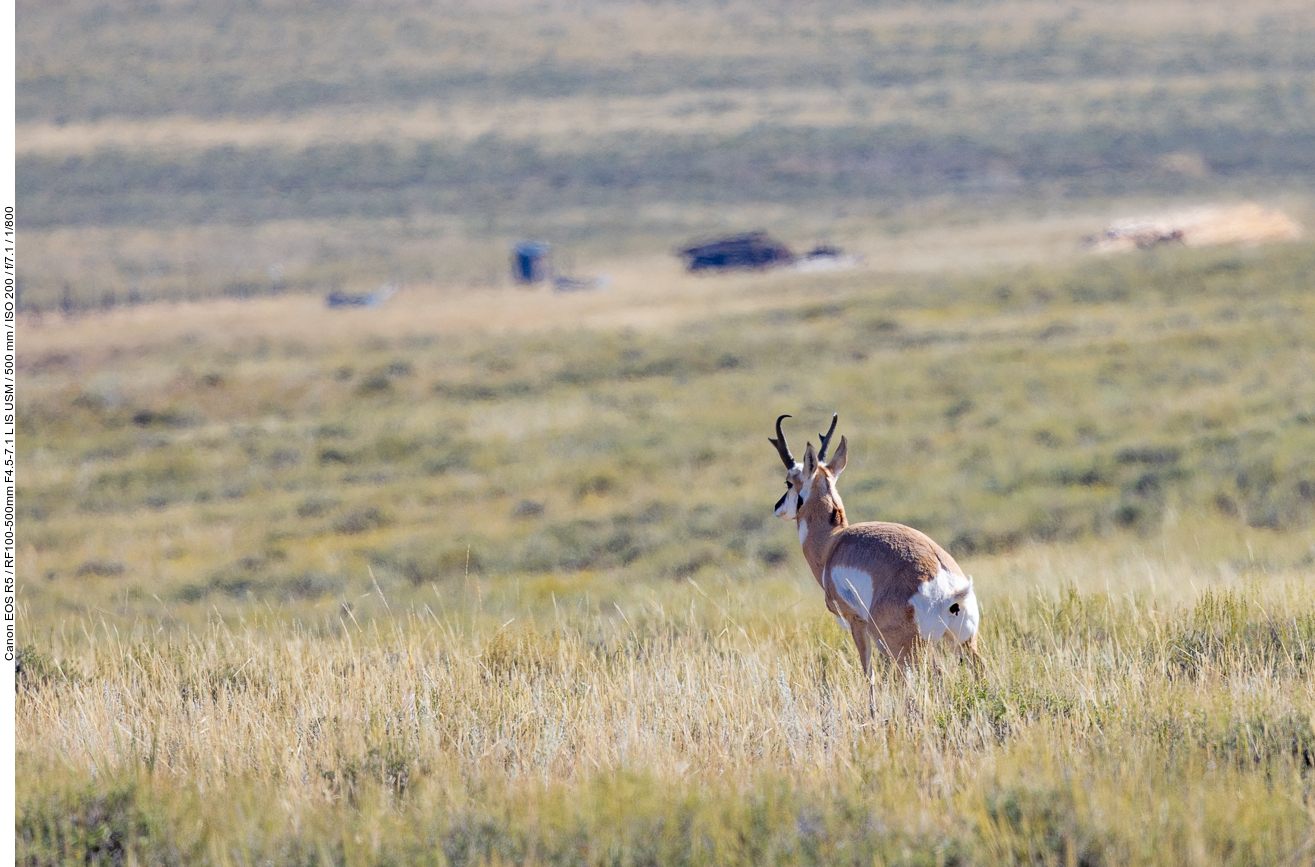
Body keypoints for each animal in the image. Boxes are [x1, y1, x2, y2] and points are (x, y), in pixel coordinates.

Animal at [767, 415, 978, 684]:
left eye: (788, 481)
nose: (777, 507)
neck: (832, 543)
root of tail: (949, 588)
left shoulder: (856, 623)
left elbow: (868, 673)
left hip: (904, 650)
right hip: (963, 645)